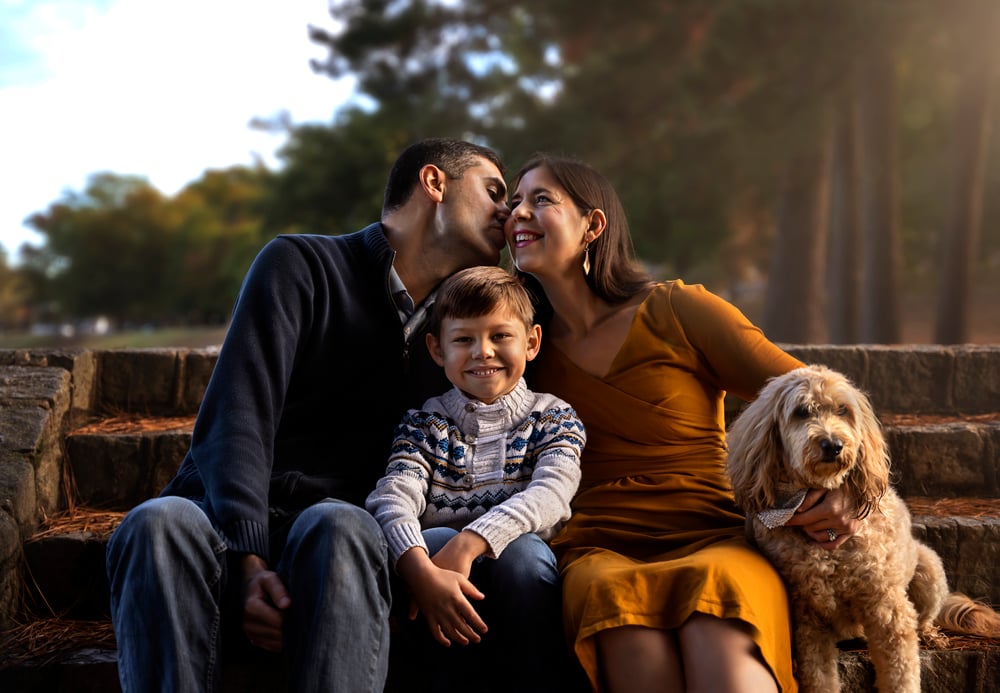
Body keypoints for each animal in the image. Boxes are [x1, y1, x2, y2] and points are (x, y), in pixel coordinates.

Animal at [728, 364, 1000, 688]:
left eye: (843, 410)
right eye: (802, 411)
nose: (833, 445)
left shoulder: (888, 609)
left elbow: (901, 675)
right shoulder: (809, 618)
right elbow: (820, 678)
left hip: (928, 571)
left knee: (923, 617)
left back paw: (931, 634)